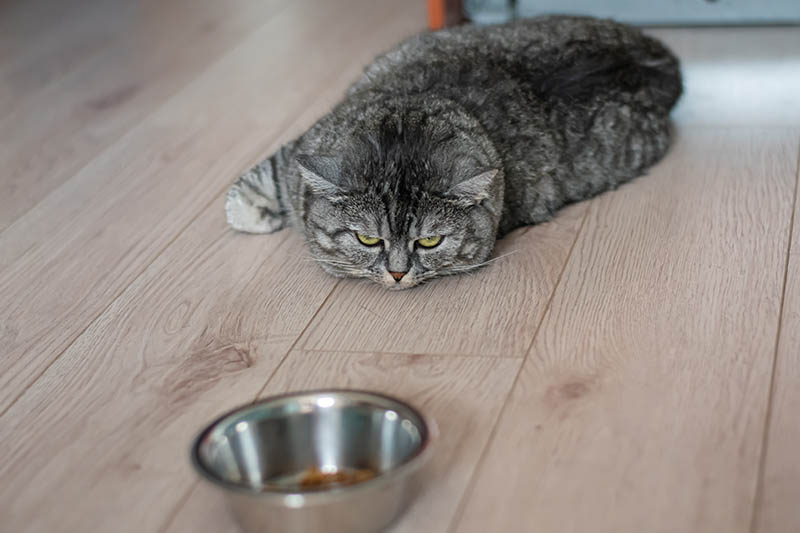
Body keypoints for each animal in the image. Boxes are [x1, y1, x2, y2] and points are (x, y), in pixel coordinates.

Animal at [223, 14, 680, 288]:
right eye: (368, 239)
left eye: (430, 242)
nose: (397, 273)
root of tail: (660, 56)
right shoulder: (300, 151)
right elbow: (255, 184)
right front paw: (257, 212)